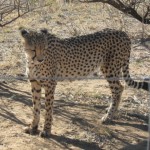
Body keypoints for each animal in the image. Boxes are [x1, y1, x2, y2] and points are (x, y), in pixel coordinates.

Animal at [19, 27, 149, 138]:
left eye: (44, 48)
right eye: (33, 49)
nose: (41, 59)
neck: (32, 61)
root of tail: (122, 32)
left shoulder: (50, 84)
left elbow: (48, 109)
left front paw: (46, 130)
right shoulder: (34, 83)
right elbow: (36, 108)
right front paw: (33, 127)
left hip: (110, 69)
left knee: (118, 89)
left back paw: (108, 116)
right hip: (108, 68)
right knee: (120, 87)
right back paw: (112, 112)